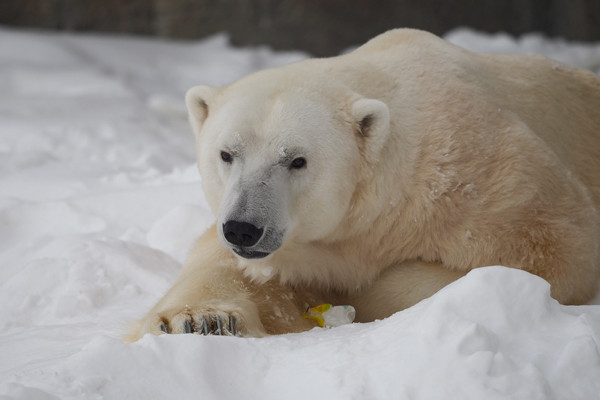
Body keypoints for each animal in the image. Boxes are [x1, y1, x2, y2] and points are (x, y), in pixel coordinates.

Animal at [126, 28, 600, 340]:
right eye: (226, 154)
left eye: (297, 160)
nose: (244, 228)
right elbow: (220, 263)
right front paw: (197, 319)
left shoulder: (484, 183)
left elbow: (558, 252)